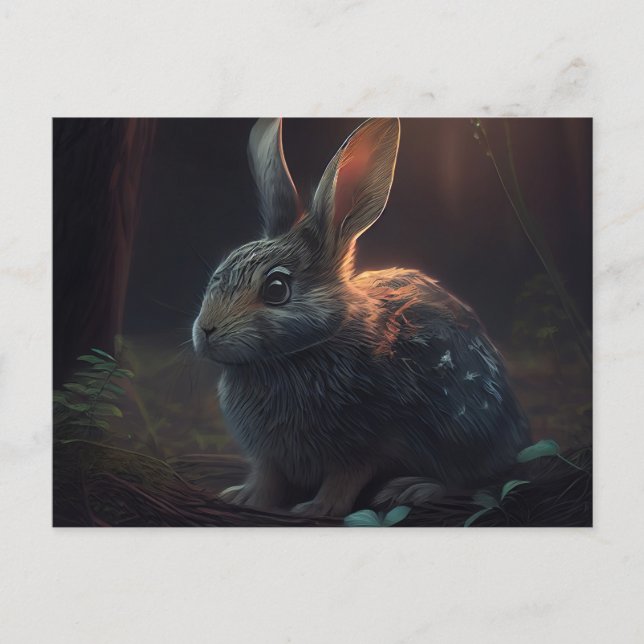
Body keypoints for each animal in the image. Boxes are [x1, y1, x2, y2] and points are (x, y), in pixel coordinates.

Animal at [192, 117, 531, 517]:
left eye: (276, 289)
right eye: (220, 271)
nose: (206, 331)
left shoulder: (363, 445)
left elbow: (344, 480)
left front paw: (316, 508)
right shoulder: (270, 458)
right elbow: (267, 480)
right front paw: (242, 498)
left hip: (463, 432)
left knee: (472, 480)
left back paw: (411, 488)